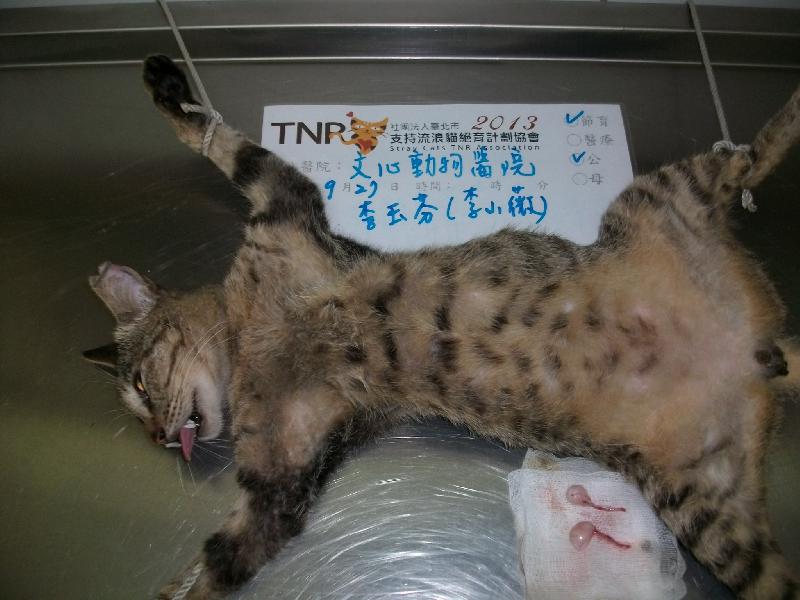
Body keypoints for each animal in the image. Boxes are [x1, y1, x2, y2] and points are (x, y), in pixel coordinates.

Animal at [83, 54, 800, 600]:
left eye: (140, 383)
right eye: (136, 403)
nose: (155, 433)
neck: (247, 338)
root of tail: (753, 343)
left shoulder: (283, 204)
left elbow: (222, 143)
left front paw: (168, 88)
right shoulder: (277, 485)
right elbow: (221, 560)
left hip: (657, 195)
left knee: (747, 158)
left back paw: (787, 113)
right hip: (705, 507)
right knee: (779, 578)